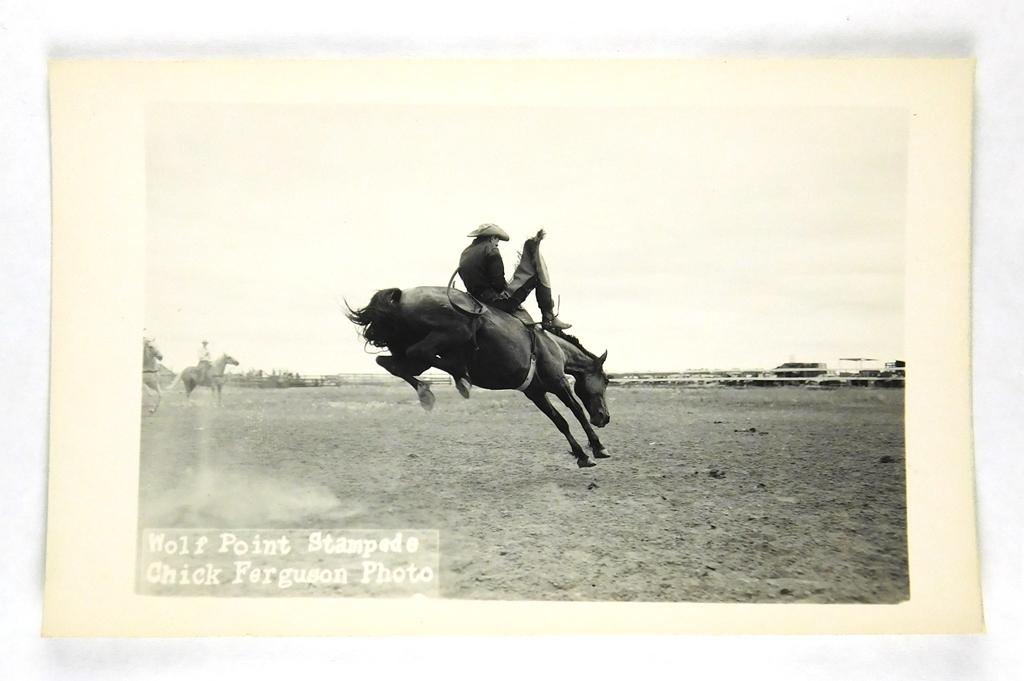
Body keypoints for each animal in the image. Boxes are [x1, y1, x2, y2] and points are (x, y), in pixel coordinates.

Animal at [348, 284, 610, 466]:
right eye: (606, 381)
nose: (604, 417)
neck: (552, 347)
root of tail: (400, 295)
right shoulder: (558, 382)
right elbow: (577, 412)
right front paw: (597, 448)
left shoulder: (535, 393)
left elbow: (560, 421)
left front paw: (581, 454)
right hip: (452, 333)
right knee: (420, 353)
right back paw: (460, 377)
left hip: (407, 354)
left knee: (390, 363)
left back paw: (428, 392)